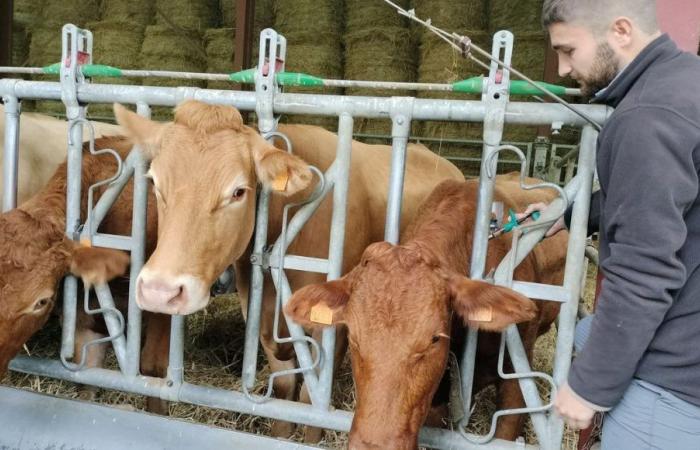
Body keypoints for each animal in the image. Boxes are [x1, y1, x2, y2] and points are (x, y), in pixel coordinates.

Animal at [115, 99, 464, 440]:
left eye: (238, 191)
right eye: (155, 182)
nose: (160, 291)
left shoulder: (335, 326)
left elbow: (312, 400)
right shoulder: (259, 311)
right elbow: (283, 388)